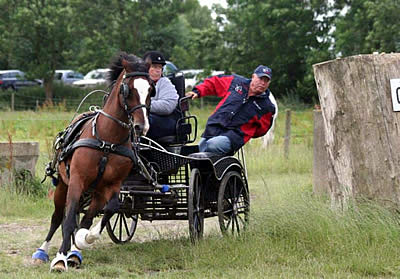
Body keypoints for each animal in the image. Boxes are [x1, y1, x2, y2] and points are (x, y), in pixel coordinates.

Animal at [31, 51, 152, 272]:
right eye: (128, 90)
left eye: (150, 89)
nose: (141, 126)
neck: (107, 141)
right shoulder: (77, 180)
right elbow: (68, 220)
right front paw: (60, 258)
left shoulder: (112, 186)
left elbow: (109, 210)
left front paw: (83, 240)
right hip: (63, 185)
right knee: (57, 217)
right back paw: (42, 252)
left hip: (94, 191)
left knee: (86, 215)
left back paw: (75, 252)